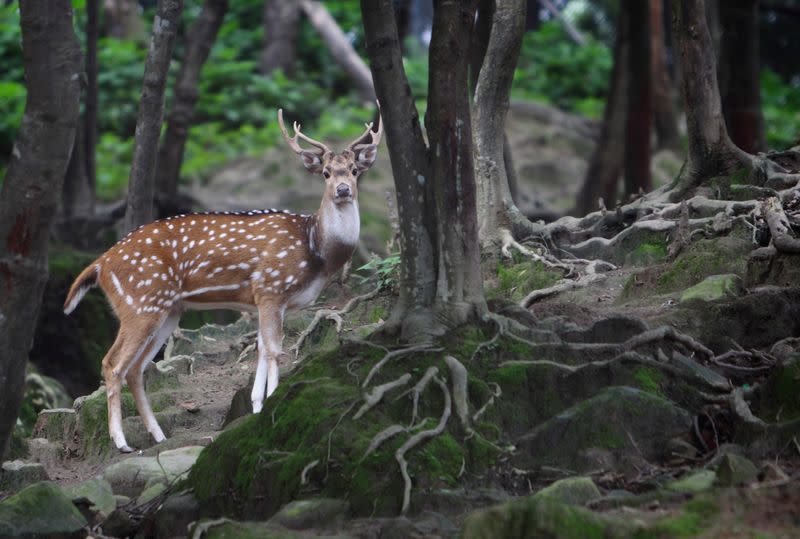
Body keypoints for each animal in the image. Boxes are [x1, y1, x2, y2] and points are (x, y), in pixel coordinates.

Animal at [62, 107, 382, 454]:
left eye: (354, 171)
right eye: (325, 173)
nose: (343, 190)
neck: (316, 250)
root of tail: (100, 263)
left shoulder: (268, 301)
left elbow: (261, 347)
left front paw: (257, 404)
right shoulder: (270, 288)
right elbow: (273, 350)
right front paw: (271, 403)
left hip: (168, 311)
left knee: (137, 368)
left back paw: (158, 435)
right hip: (140, 302)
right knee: (113, 363)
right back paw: (121, 442)